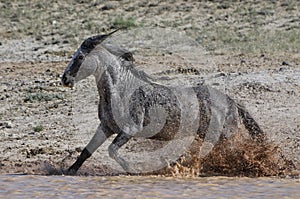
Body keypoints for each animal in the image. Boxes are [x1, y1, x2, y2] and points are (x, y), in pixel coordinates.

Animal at [61, 29, 264, 174]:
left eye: (80, 57)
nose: (64, 79)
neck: (122, 90)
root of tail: (231, 102)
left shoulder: (130, 129)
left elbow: (112, 150)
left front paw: (133, 170)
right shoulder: (106, 127)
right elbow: (86, 151)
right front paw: (68, 171)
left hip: (224, 135)